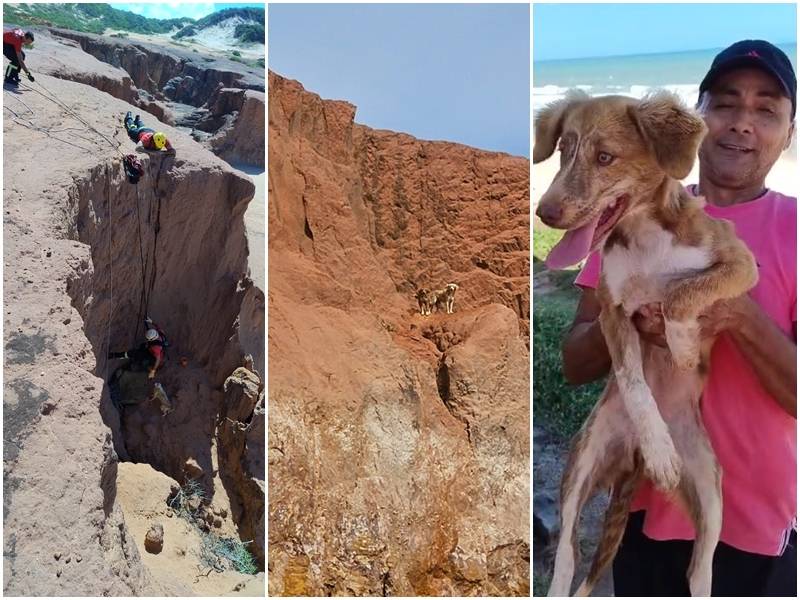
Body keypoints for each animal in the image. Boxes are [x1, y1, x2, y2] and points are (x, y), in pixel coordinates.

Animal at [536, 89, 760, 596]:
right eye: (563, 150)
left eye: (605, 157)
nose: (545, 213)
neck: (644, 238)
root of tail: (630, 459)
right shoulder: (613, 312)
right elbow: (634, 380)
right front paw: (660, 448)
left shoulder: (738, 262)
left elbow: (680, 295)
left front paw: (683, 345)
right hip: (582, 461)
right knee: (568, 552)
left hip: (711, 492)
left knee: (699, 568)